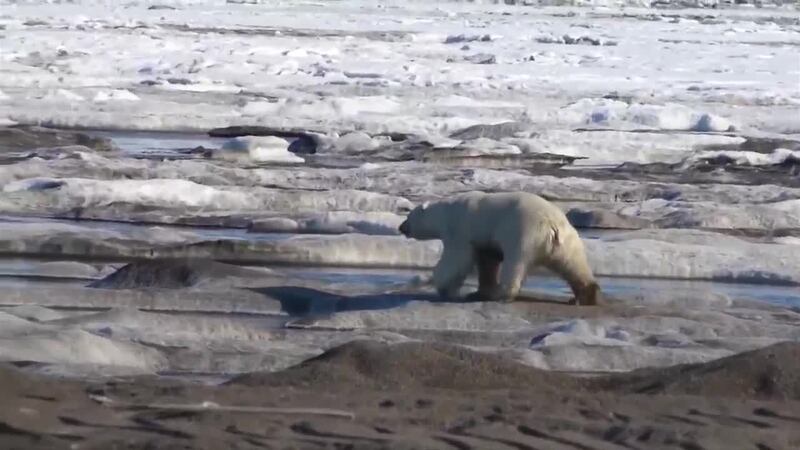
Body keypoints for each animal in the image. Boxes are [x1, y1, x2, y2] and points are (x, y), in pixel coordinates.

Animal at [398, 191, 600, 305]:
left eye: (408, 216)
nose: (401, 227)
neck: (447, 211)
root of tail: (552, 226)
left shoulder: (461, 228)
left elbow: (457, 258)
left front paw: (444, 287)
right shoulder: (485, 238)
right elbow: (488, 261)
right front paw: (479, 292)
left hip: (523, 235)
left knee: (516, 264)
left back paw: (503, 295)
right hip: (568, 241)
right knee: (573, 264)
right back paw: (586, 295)